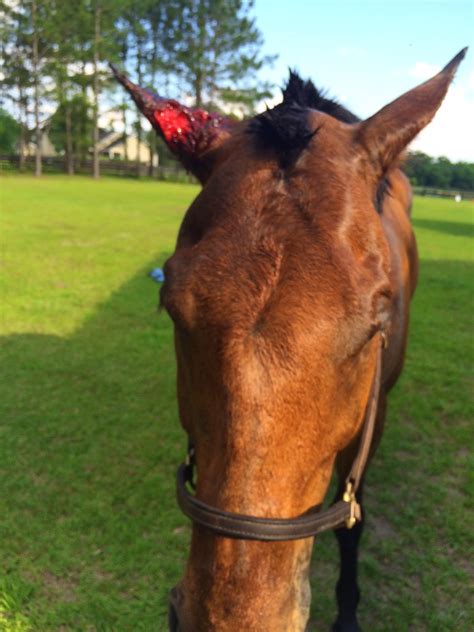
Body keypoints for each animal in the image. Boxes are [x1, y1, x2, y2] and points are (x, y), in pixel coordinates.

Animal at [111, 49, 466, 632]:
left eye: (377, 322)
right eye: (172, 307)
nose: (230, 621)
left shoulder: (374, 415)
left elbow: (352, 518)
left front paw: (348, 613)